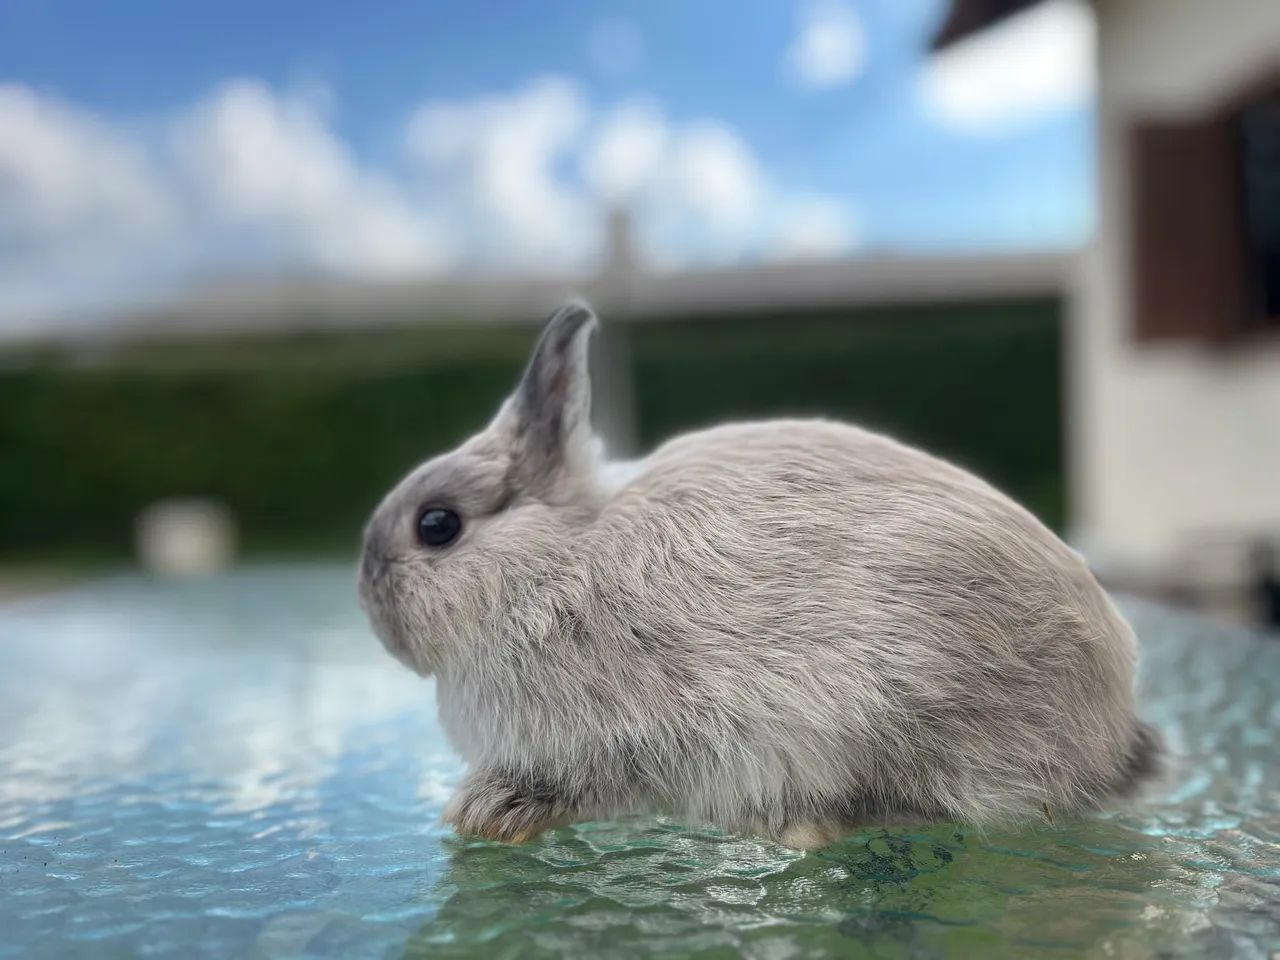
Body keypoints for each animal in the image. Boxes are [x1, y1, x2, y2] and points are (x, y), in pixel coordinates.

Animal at [358, 302, 1161, 850]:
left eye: (437, 526)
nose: (368, 603)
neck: (550, 564)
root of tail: (1111, 733)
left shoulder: (622, 740)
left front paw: (489, 812)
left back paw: (803, 826)